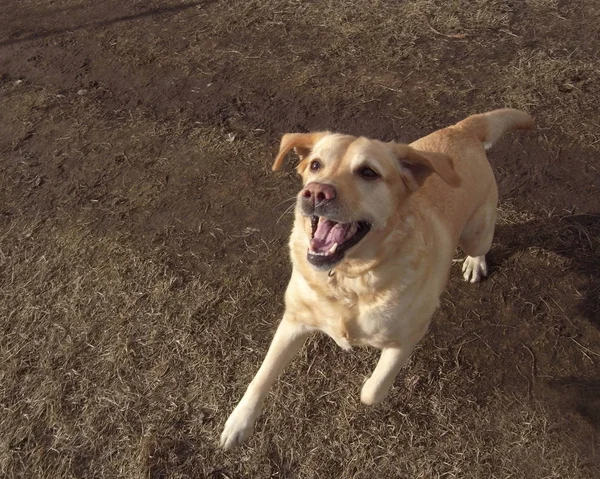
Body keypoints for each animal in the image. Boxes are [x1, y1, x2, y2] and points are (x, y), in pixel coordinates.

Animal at [220, 109, 536, 450]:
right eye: (316, 165)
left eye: (368, 173)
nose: (316, 192)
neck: (347, 278)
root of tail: (463, 129)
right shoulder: (293, 320)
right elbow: (261, 375)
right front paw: (238, 423)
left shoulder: (408, 336)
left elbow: (371, 391)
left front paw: (364, 381)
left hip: (477, 233)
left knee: (481, 246)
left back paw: (474, 263)